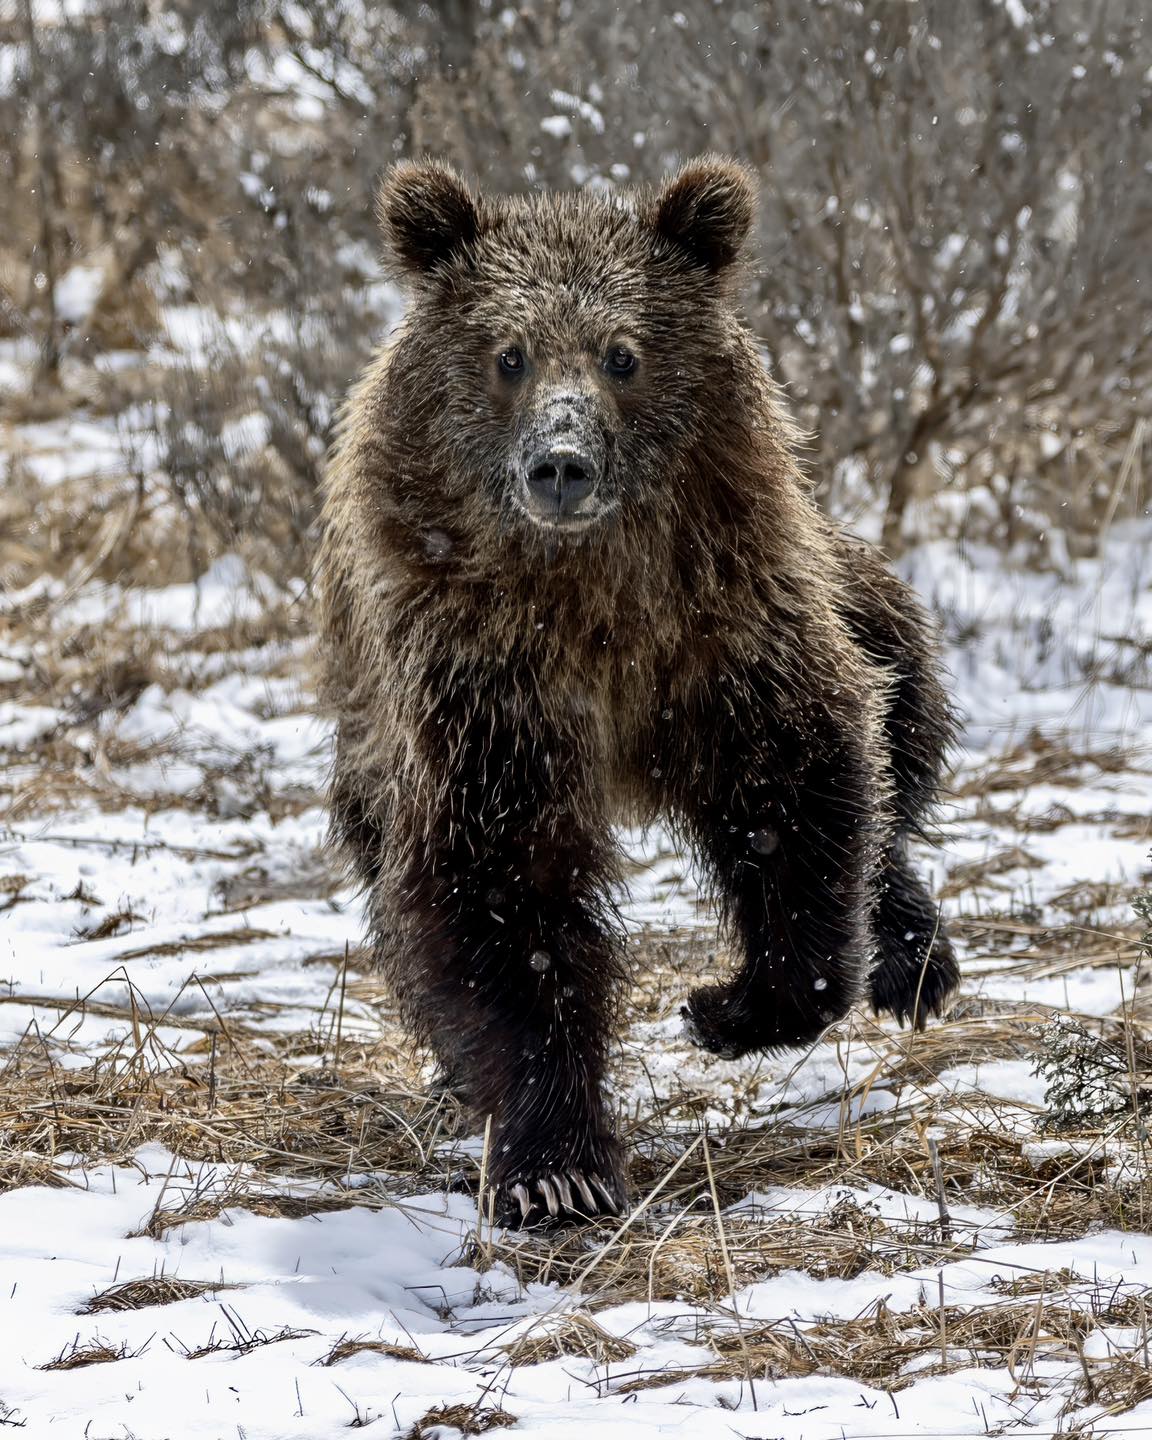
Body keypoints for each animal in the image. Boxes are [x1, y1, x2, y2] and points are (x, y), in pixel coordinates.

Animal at [316, 156, 959, 1226]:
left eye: (624, 354)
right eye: (508, 354)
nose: (561, 465)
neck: (595, 604)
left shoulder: (726, 630)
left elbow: (799, 786)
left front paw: (725, 1006)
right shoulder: (483, 685)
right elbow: (502, 889)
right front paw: (557, 1166)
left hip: (849, 583)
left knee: (896, 731)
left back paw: (912, 959)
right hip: (370, 730)